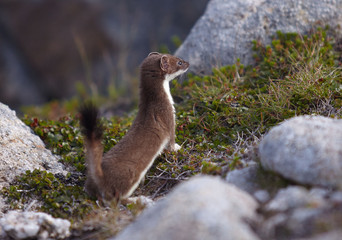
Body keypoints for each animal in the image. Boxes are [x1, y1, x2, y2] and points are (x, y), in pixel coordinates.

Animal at [79, 52, 190, 201]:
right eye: (179, 62)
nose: (188, 63)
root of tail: (100, 175)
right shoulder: (168, 116)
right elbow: (171, 139)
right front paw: (178, 147)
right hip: (128, 177)